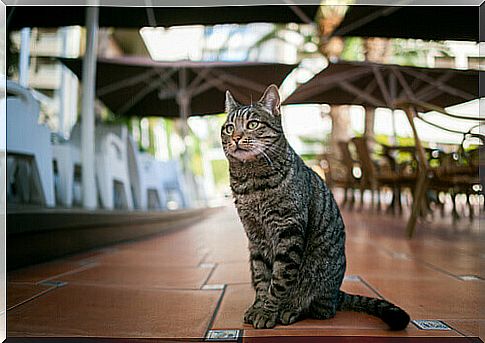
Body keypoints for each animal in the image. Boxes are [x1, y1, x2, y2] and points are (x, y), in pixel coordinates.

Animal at [221, 83, 410, 330]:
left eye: (252, 124)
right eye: (228, 128)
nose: (235, 137)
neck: (253, 182)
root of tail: (337, 293)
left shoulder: (288, 230)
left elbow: (279, 279)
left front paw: (268, 312)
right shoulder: (255, 237)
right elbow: (262, 276)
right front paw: (258, 307)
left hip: (320, 278)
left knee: (321, 310)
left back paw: (291, 310)